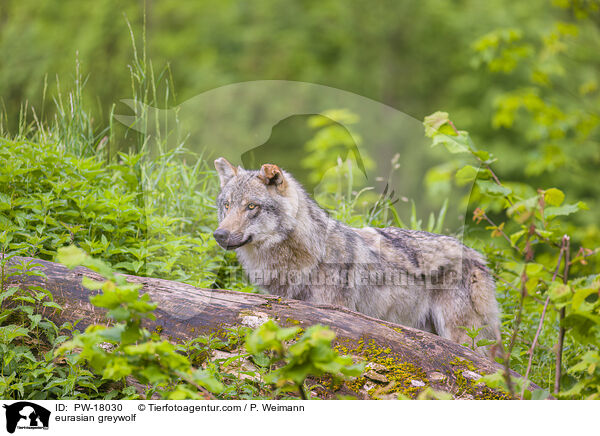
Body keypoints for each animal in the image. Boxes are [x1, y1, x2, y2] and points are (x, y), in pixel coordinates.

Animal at [213, 157, 500, 348]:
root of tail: (477, 256)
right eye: (227, 205)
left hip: (462, 336)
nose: (219, 235)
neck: (310, 253)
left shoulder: (334, 314)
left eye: (251, 206)